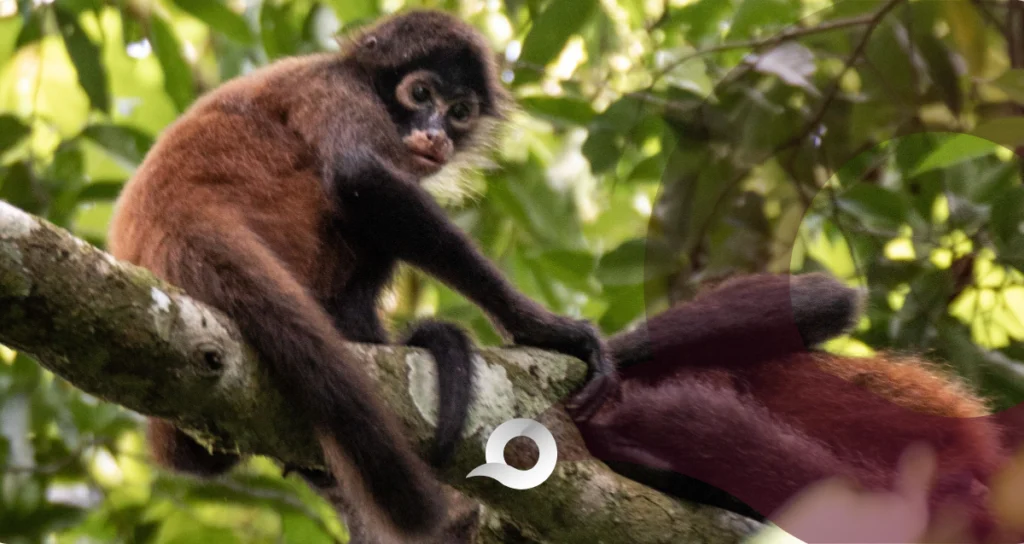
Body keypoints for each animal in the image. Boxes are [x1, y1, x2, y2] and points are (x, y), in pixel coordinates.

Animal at [107, 10, 615, 542]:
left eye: (459, 111)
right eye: (420, 94)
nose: (437, 134)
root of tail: (173, 221)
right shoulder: (338, 89)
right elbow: (360, 178)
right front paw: (543, 329)